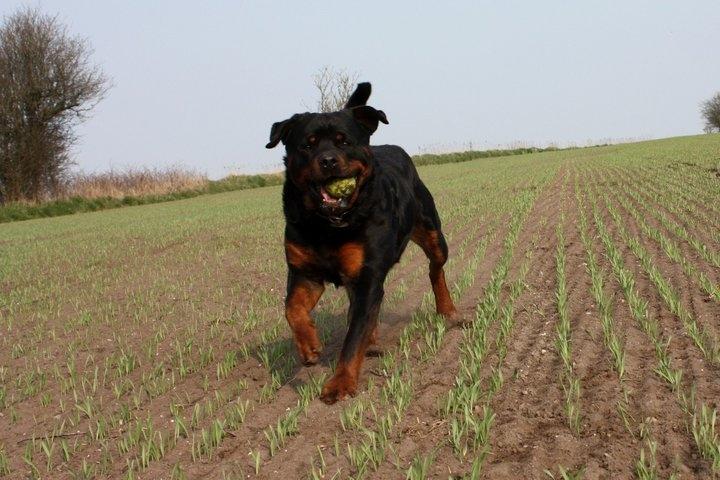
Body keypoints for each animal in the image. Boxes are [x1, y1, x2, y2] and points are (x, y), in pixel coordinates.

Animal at [264, 83, 456, 404]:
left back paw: (447, 309)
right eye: (307, 145)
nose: (328, 160)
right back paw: (374, 339)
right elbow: (292, 308)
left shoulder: (367, 275)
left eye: (344, 142)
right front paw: (308, 346)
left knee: (435, 269)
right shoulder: (305, 273)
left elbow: (352, 339)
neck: (327, 225)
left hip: (432, 234)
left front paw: (340, 384)